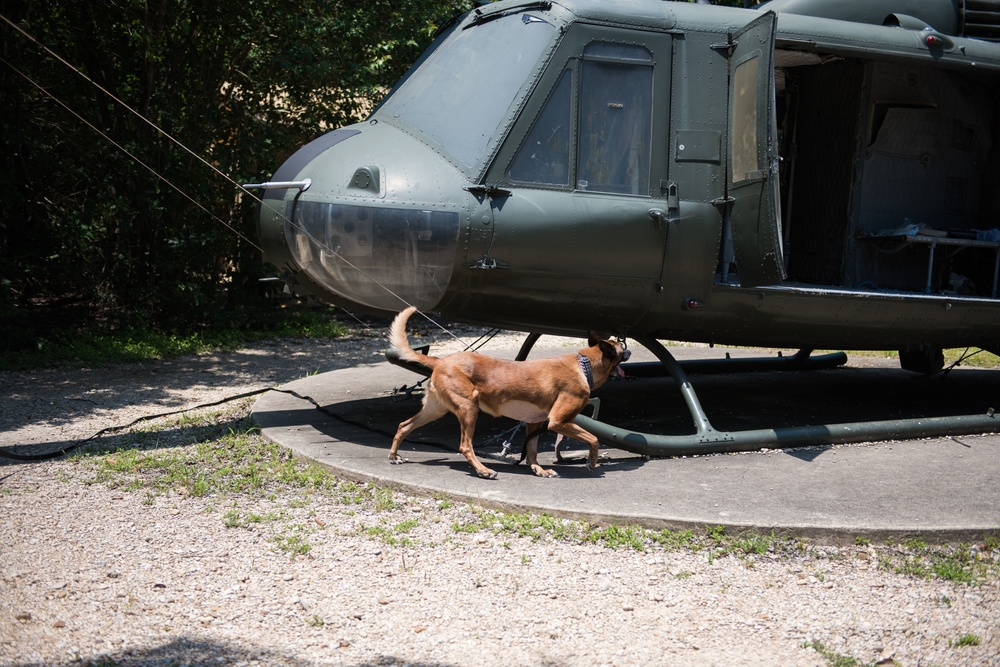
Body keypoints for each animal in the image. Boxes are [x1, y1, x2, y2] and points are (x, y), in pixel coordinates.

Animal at [388, 308, 628, 480]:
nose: (629, 349)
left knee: (403, 426)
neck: (583, 364)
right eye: (620, 349)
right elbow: (593, 438)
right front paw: (591, 462)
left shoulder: (535, 422)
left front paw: (538, 470)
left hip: (435, 410)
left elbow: (532, 451)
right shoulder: (558, 422)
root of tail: (440, 360)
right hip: (468, 408)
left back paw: (394, 455)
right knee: (465, 446)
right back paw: (483, 470)